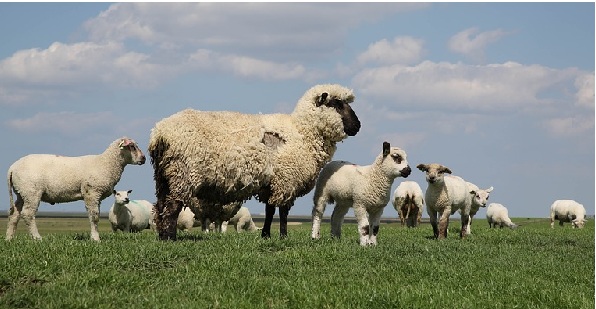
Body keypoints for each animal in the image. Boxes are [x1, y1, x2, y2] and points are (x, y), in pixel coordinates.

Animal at [7, 137, 147, 241]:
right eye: (132, 146)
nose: (144, 158)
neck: (106, 163)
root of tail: (12, 168)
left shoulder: (96, 196)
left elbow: (95, 215)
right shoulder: (92, 192)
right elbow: (94, 216)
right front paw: (96, 239)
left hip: (21, 193)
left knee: (14, 214)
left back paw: (9, 239)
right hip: (32, 191)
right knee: (28, 214)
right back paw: (37, 238)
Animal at [149, 83, 364, 241]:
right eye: (336, 104)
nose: (358, 126)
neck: (302, 132)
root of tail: (160, 132)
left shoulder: (271, 183)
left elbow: (269, 210)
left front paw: (266, 235)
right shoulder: (286, 180)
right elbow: (283, 211)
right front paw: (283, 236)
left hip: (164, 175)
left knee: (160, 206)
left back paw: (162, 236)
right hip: (182, 173)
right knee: (172, 207)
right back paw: (170, 237)